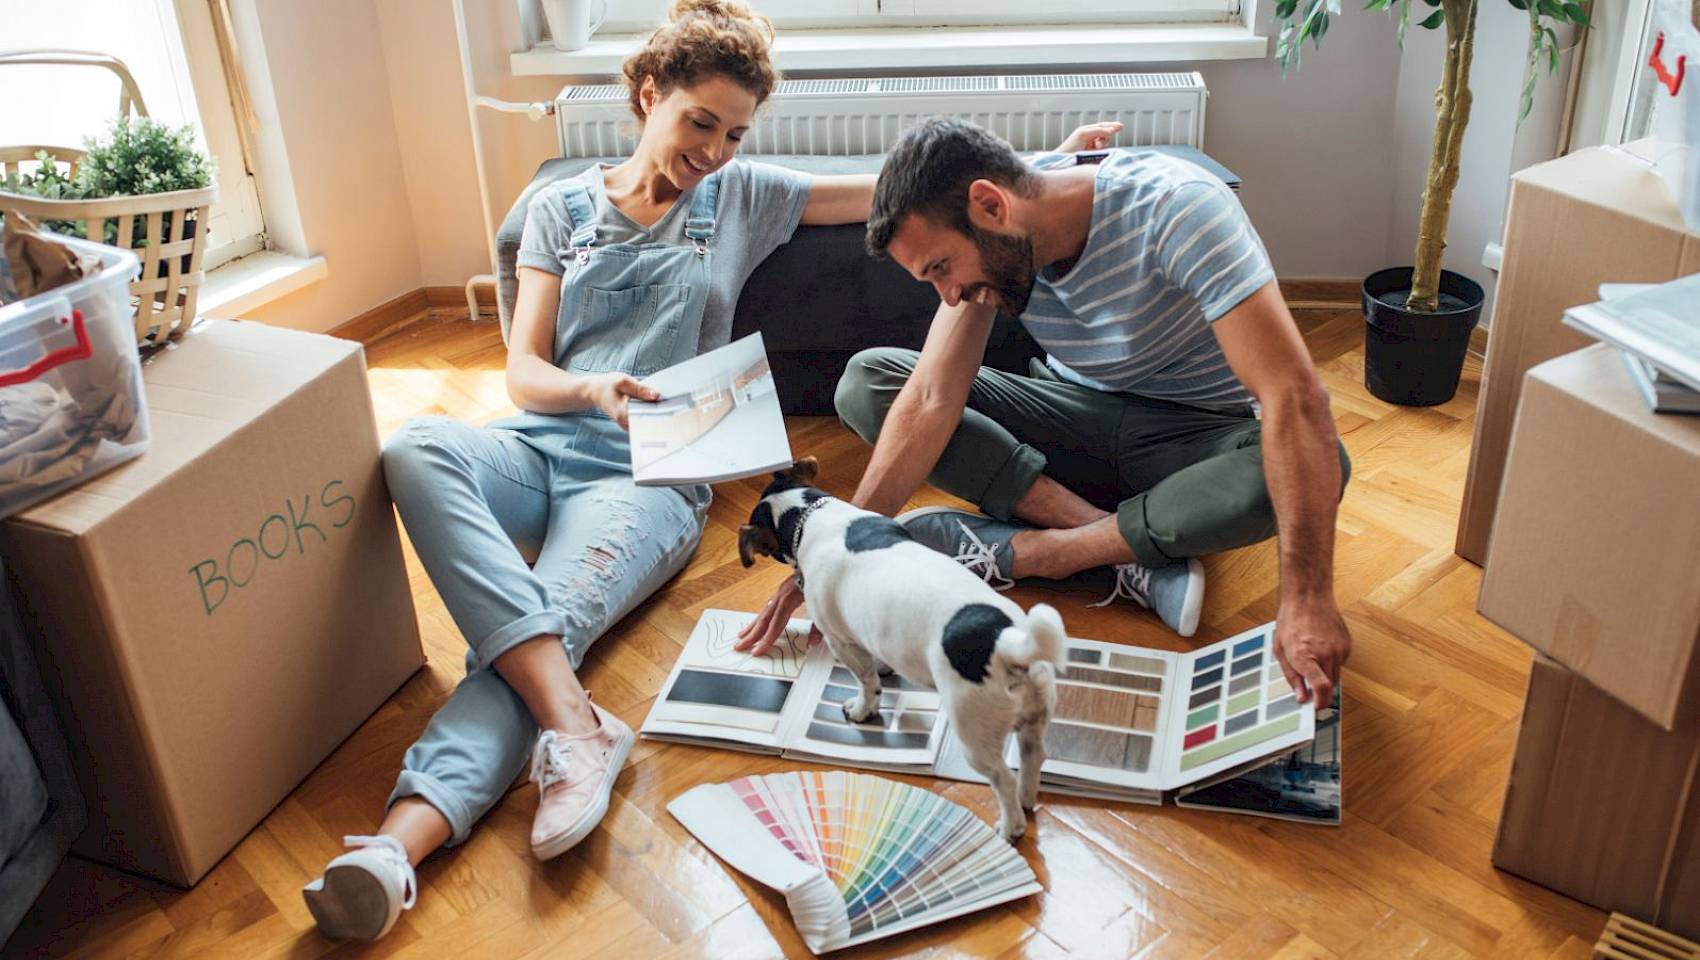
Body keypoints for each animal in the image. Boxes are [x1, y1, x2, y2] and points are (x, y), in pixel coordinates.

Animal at [734, 455, 1060, 839]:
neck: (808, 514)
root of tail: (1007, 643)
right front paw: (884, 667)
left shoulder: (841, 641)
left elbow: (867, 683)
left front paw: (862, 709)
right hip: (1035, 716)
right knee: (1032, 757)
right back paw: (1027, 799)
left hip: (974, 733)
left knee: (1002, 779)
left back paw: (1011, 826)